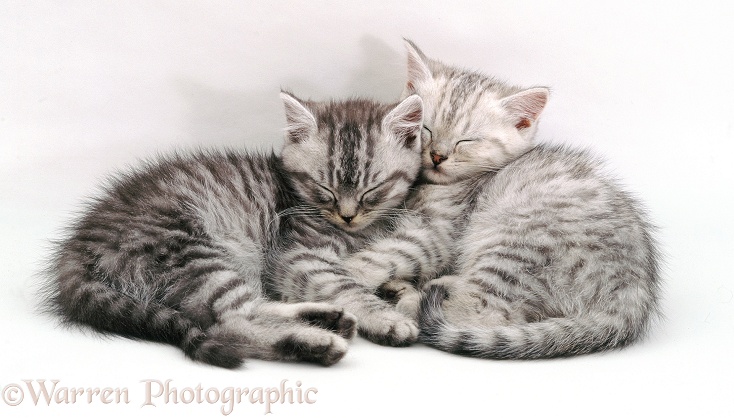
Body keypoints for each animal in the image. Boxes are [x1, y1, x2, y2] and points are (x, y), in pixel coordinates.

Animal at [370, 40, 664, 358]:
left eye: (467, 140)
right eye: (426, 128)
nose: (437, 156)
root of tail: (631, 298)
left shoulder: (436, 231)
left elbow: (389, 253)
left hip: (515, 244)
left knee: (482, 312)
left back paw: (413, 299)